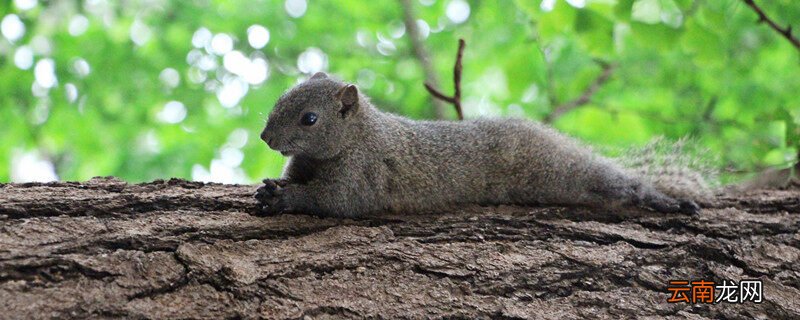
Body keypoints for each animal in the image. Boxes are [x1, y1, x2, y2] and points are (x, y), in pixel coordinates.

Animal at [253, 72, 704, 218]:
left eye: (310, 119)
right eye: (281, 97)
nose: (265, 137)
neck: (356, 134)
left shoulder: (364, 170)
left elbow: (338, 201)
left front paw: (284, 200)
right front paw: (270, 189)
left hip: (558, 169)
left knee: (617, 181)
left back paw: (665, 200)